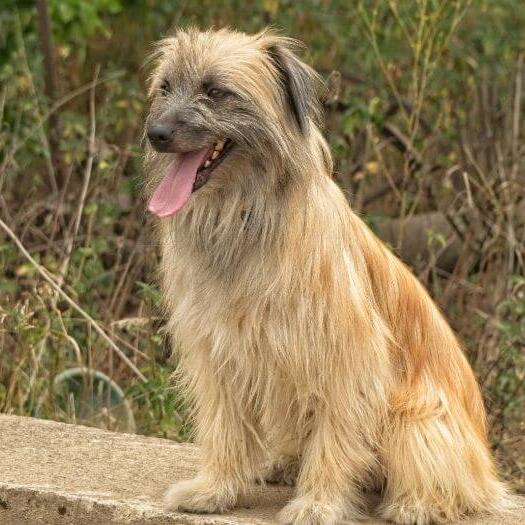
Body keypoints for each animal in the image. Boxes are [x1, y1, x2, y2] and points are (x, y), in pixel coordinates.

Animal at [143, 27, 512, 524]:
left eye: (216, 91)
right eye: (165, 87)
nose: (156, 134)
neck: (244, 216)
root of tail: (486, 469)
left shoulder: (346, 356)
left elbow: (336, 436)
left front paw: (319, 503)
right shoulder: (217, 350)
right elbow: (225, 426)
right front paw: (214, 489)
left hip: (413, 418)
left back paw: (415, 503)